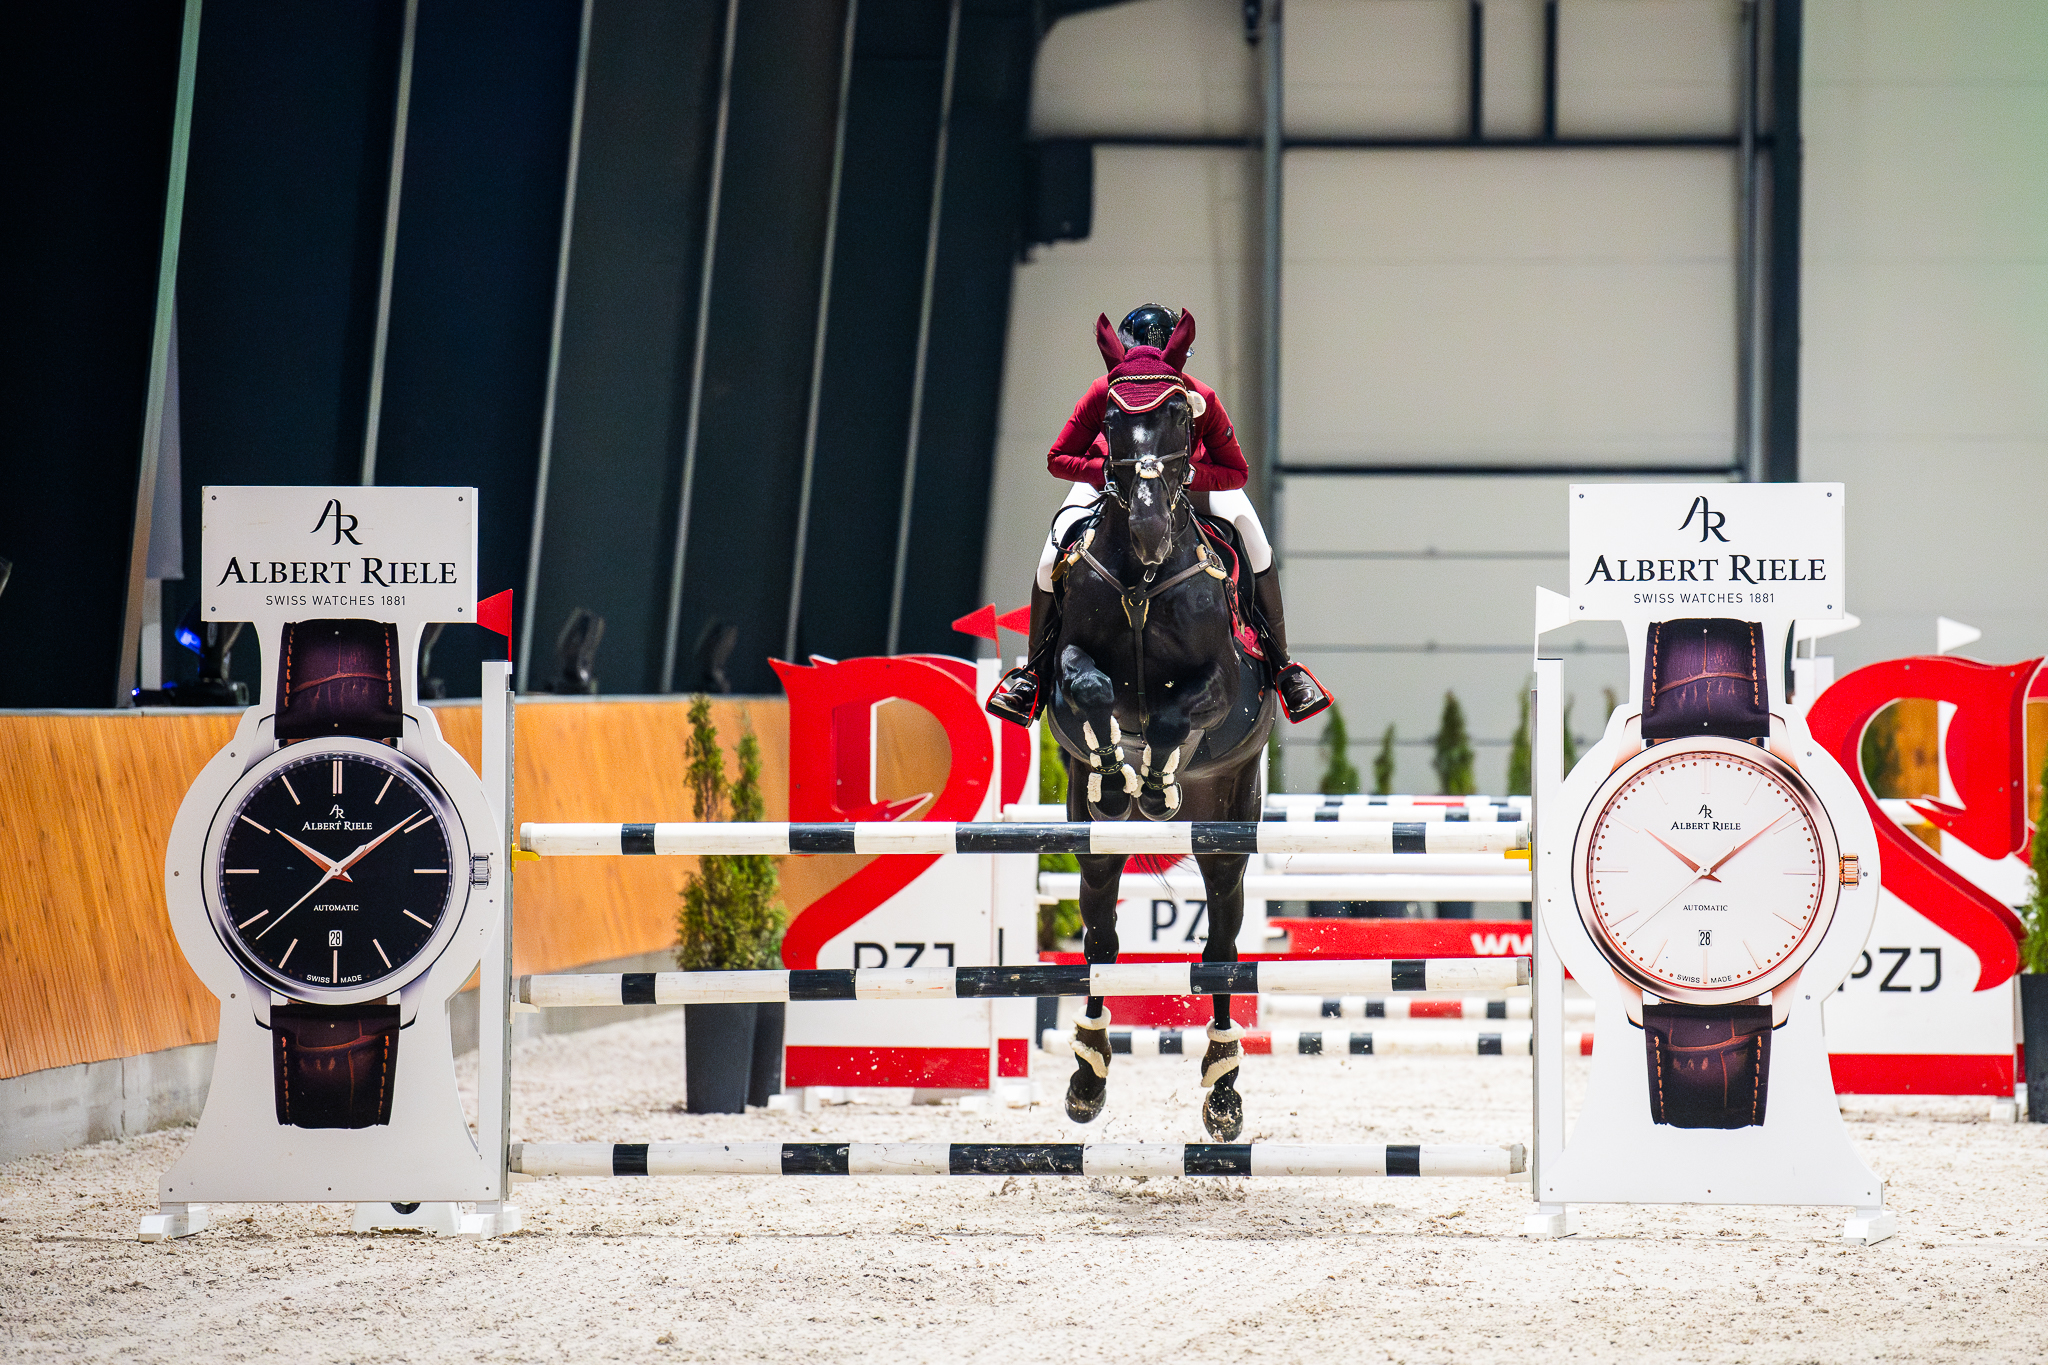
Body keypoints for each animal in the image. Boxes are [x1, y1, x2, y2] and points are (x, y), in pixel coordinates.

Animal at [1040, 319, 1277, 1142]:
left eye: (1180, 413)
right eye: (1112, 418)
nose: (1145, 529)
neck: (1145, 576)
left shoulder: (1227, 687)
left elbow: (1179, 710)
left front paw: (1155, 780)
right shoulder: (1068, 673)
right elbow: (1087, 686)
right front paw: (1123, 775)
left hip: (1229, 825)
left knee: (1221, 945)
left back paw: (1224, 1090)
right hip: (1087, 842)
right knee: (1101, 941)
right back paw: (1087, 1077)